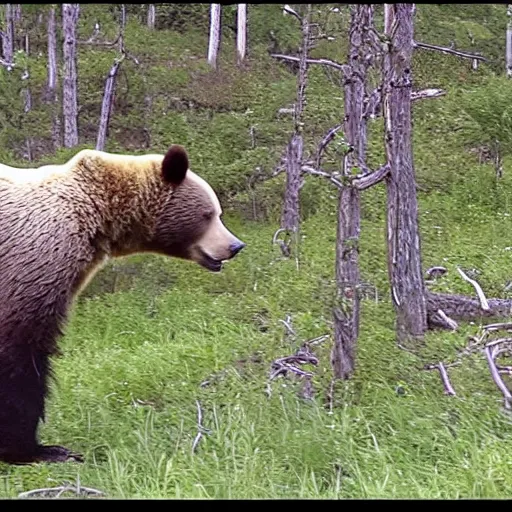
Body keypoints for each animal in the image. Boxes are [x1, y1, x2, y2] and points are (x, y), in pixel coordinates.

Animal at [0, 144, 246, 464]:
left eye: (217, 212)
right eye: (209, 214)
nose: (235, 246)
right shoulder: (33, 258)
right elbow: (21, 350)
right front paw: (35, 449)